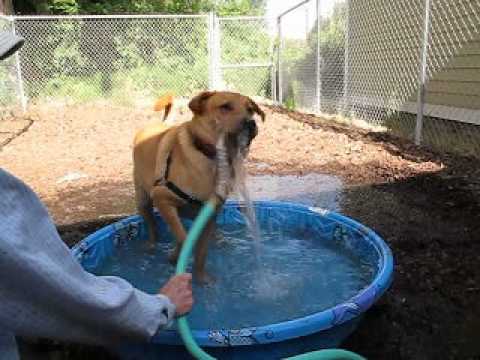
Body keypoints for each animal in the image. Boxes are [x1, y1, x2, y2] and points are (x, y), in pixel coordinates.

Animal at [133, 91, 264, 282]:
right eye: (225, 106)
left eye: (250, 109)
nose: (250, 123)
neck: (211, 158)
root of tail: (160, 124)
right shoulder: (162, 197)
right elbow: (183, 239)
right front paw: (175, 257)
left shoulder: (209, 216)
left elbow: (202, 252)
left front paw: (202, 279)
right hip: (143, 200)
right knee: (152, 228)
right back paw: (151, 246)